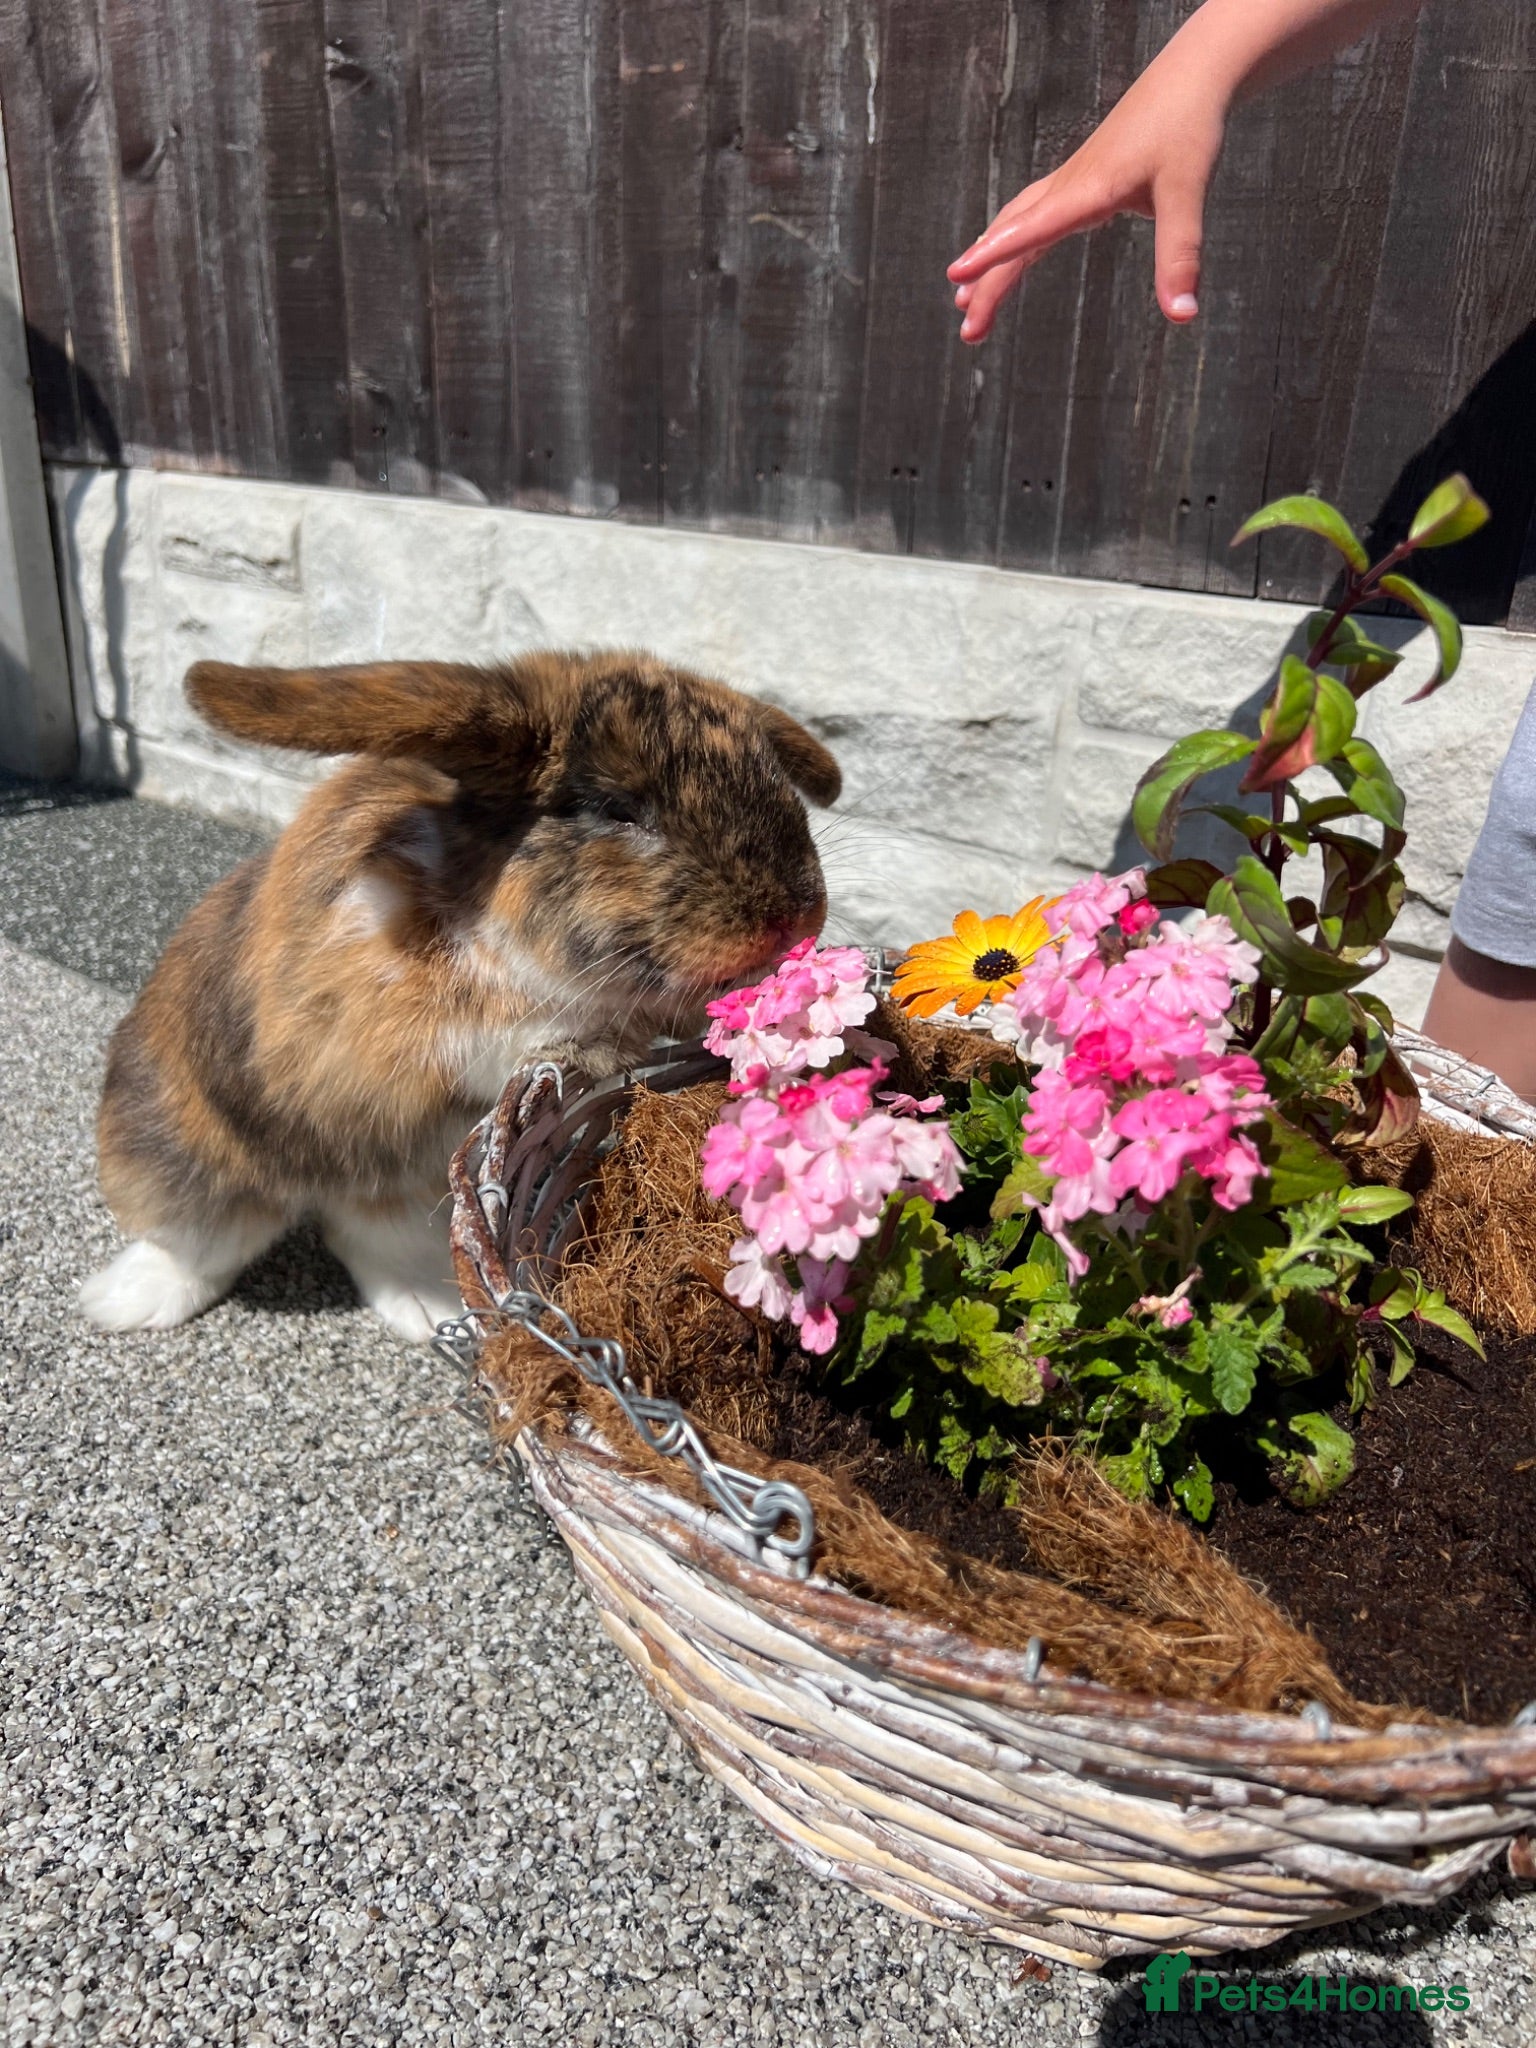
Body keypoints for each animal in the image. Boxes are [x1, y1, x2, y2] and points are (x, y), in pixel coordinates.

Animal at [80, 650, 840, 1344]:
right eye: (612, 807)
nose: (796, 916)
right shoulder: (385, 1027)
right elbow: (506, 1040)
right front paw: (594, 1049)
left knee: (366, 1243)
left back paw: (428, 1312)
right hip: (182, 1179)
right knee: (197, 1253)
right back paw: (120, 1304)